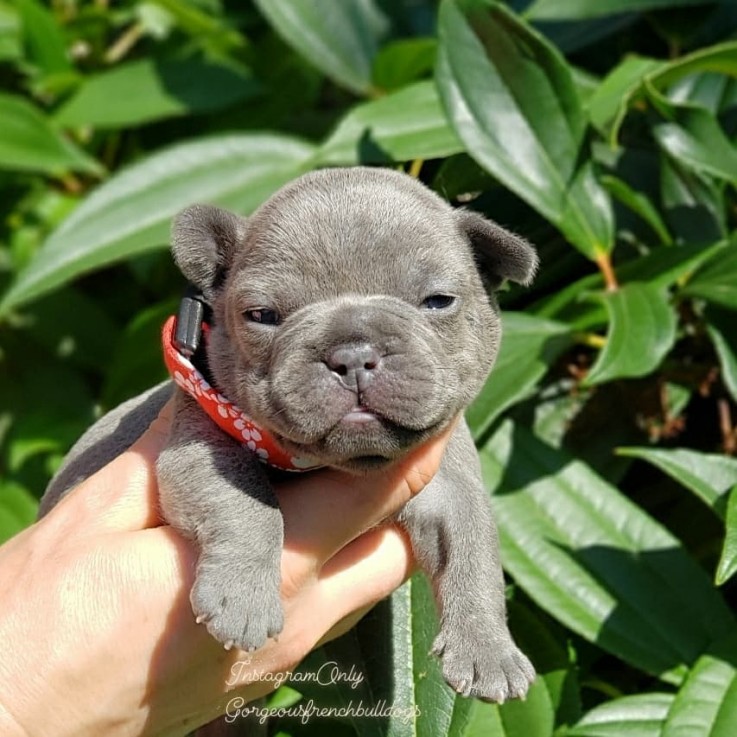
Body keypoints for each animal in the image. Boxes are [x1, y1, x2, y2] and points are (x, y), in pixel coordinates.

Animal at [40, 167, 536, 700]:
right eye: (262, 315)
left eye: (438, 301)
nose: (353, 353)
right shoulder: (198, 449)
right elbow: (247, 503)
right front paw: (243, 599)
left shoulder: (452, 481)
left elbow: (472, 547)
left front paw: (487, 648)